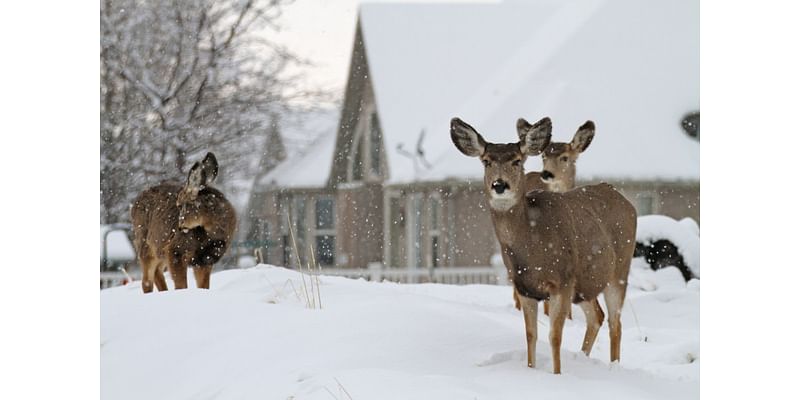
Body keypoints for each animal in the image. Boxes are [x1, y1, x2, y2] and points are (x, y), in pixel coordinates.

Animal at [130, 152, 236, 292]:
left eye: (180, 205)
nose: (179, 227)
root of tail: (134, 204)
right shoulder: (175, 250)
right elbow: (181, 285)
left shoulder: (206, 259)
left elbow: (204, 286)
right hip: (145, 242)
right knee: (147, 280)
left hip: (159, 246)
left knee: (157, 272)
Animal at [450, 117, 636, 374]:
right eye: (486, 161)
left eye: (517, 161)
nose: (499, 185)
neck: (532, 247)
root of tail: (625, 200)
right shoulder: (524, 287)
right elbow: (531, 335)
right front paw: (531, 369)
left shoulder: (562, 281)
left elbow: (554, 336)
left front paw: (556, 375)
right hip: (586, 283)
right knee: (597, 317)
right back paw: (584, 358)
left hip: (619, 270)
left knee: (615, 322)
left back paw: (614, 366)